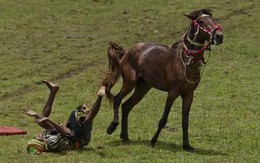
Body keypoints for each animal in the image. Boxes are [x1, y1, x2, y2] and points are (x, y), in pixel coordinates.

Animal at [84, 8, 222, 152]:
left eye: (212, 19)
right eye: (201, 21)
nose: (219, 36)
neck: (185, 61)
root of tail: (127, 52)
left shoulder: (188, 94)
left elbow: (185, 121)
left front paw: (187, 145)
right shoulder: (172, 93)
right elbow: (163, 119)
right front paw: (153, 141)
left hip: (143, 87)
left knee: (126, 106)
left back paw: (125, 137)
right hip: (130, 82)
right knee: (117, 100)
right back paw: (112, 127)